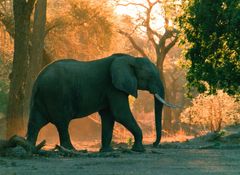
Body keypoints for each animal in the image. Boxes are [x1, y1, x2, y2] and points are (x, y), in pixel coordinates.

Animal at [26, 53, 176, 152]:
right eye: (150, 76)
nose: (154, 144)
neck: (131, 59)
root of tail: (38, 79)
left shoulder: (111, 89)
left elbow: (108, 116)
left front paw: (106, 151)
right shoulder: (113, 87)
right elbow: (120, 114)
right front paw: (139, 150)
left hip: (43, 97)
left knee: (36, 122)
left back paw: (29, 148)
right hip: (56, 95)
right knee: (62, 123)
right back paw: (71, 150)